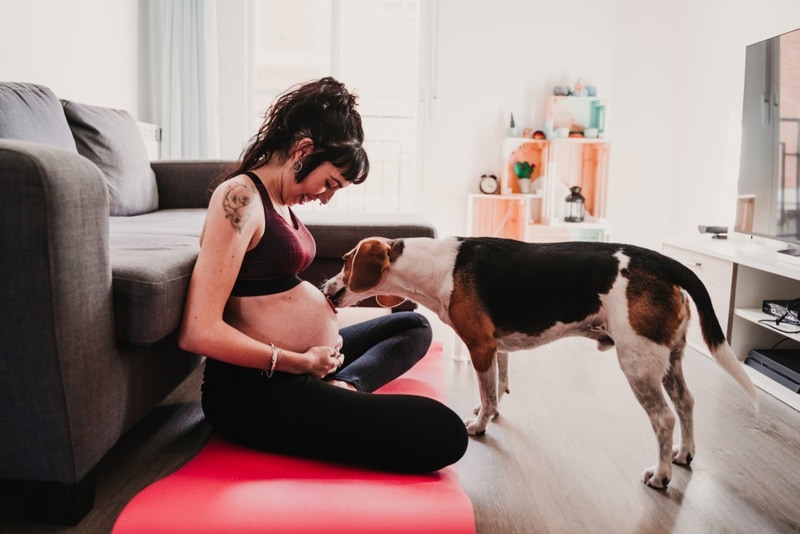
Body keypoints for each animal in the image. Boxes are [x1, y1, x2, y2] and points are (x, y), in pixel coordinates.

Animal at [322, 238, 760, 490]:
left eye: (345, 260)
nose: (325, 289)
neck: (437, 265)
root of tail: (662, 261)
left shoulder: (480, 345)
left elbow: (488, 393)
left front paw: (479, 425)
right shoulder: (496, 347)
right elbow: (495, 388)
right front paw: (488, 411)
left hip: (638, 362)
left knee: (664, 419)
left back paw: (661, 475)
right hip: (670, 358)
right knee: (686, 403)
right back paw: (684, 454)